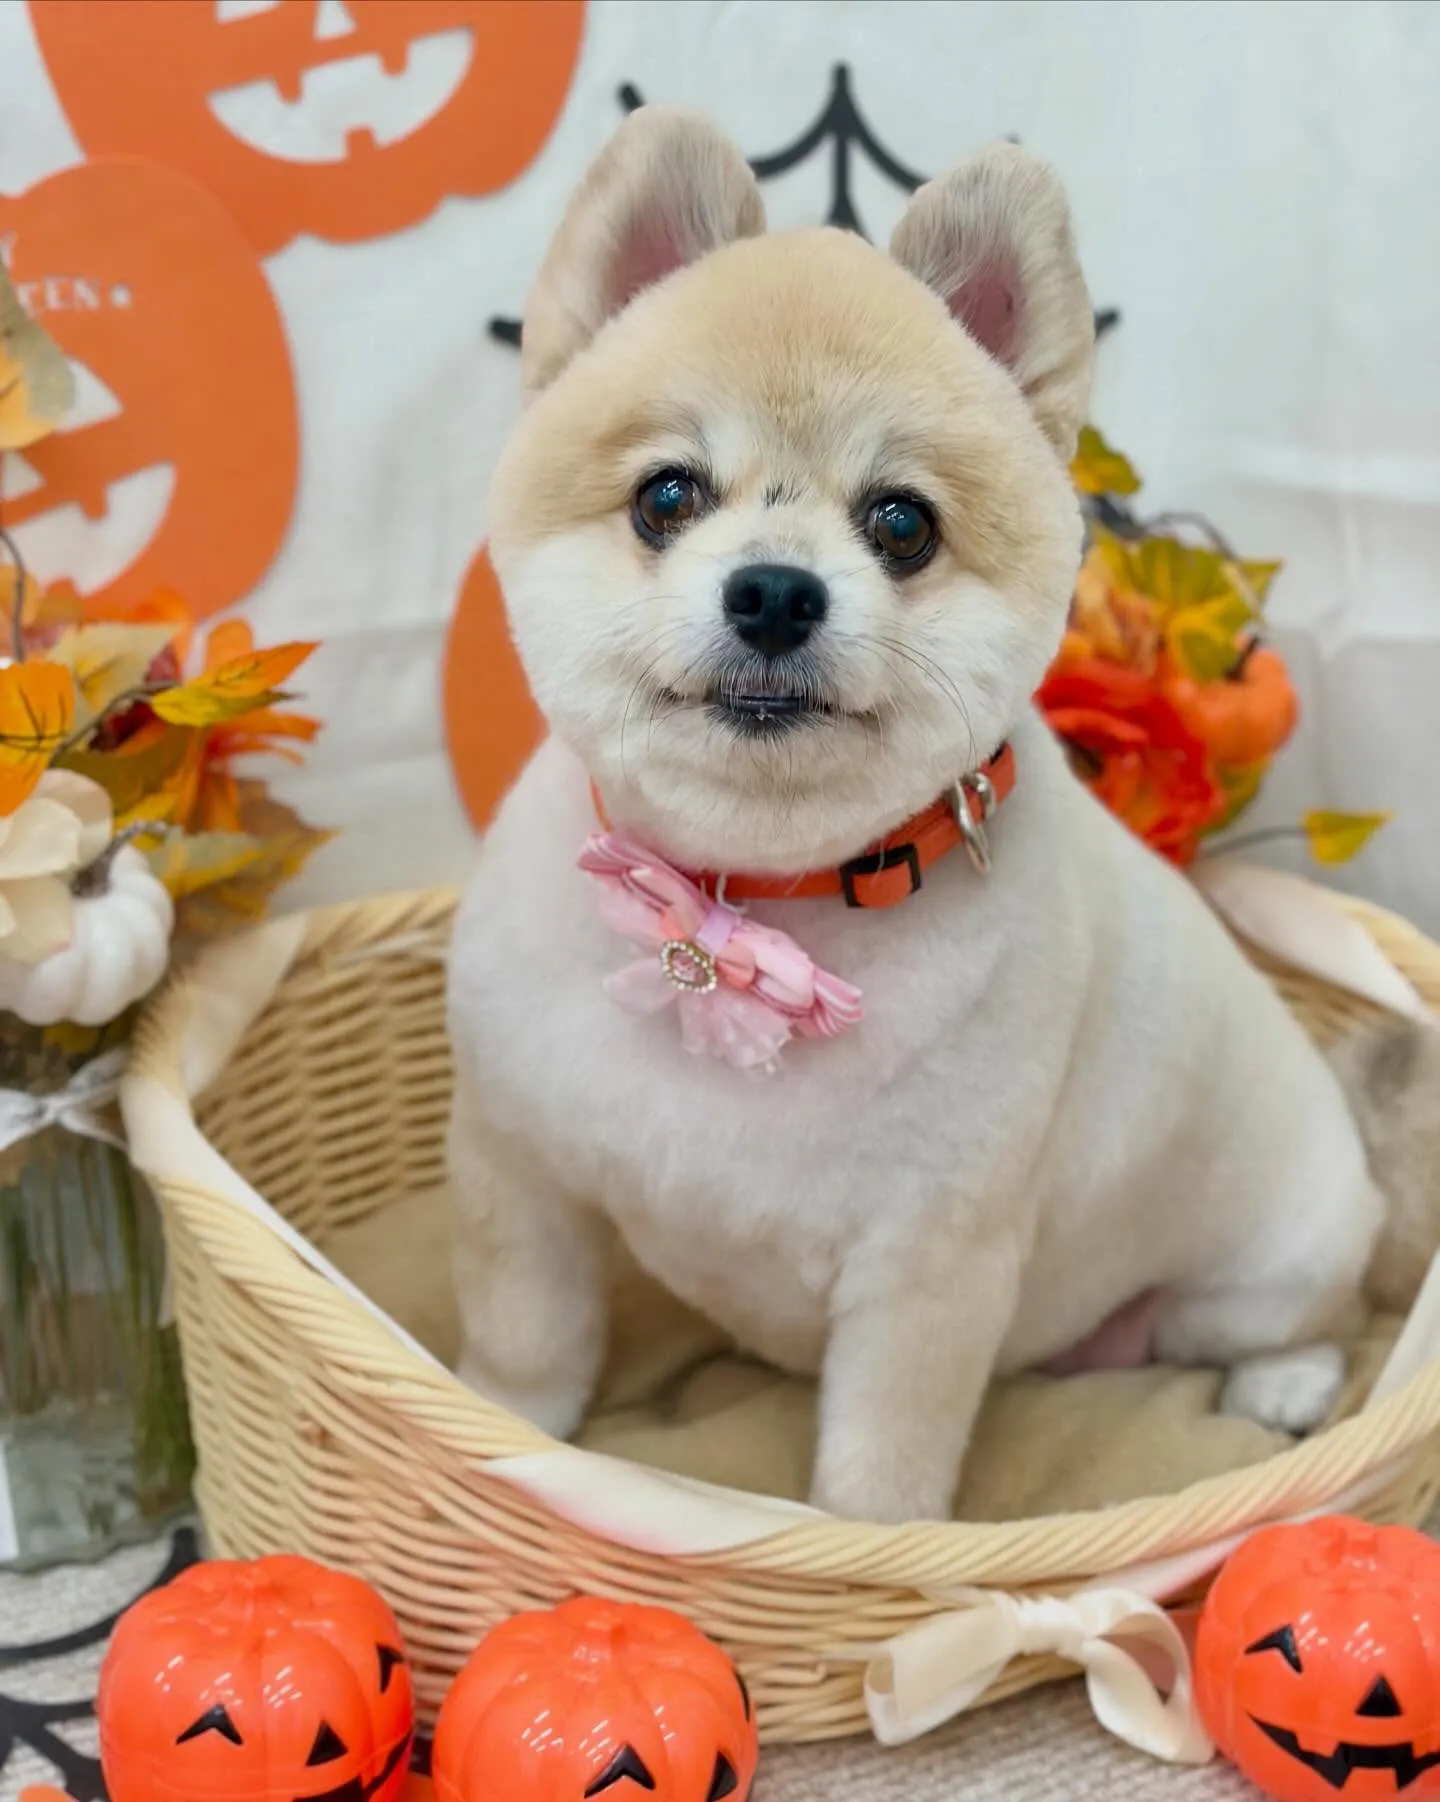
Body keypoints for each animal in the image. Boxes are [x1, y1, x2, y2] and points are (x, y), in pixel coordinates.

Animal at [446, 108, 1385, 1524]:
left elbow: (881, 1463)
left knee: (1300, 1318)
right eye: (667, 495)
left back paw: (1282, 1383)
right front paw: (500, 1437)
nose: (775, 591)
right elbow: (524, 1343)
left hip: (1271, 1255)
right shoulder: (522, 1172)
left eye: (902, 523)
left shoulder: (930, 1263)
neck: (748, 903)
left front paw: (868, 1550)